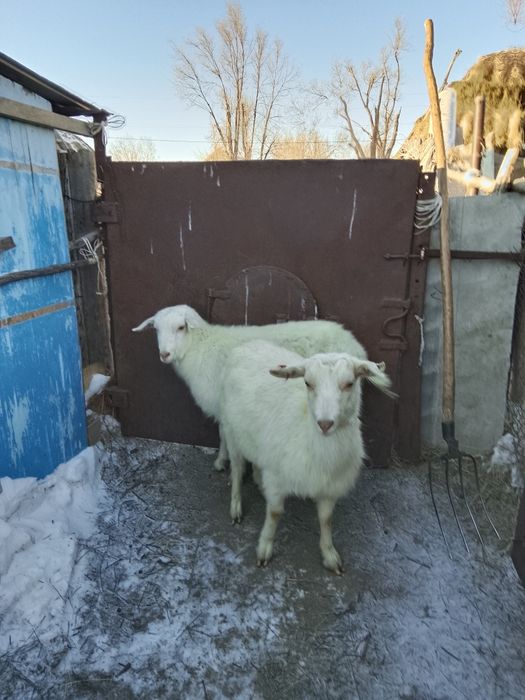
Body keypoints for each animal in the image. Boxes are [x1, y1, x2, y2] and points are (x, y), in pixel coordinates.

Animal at [219, 340, 391, 573]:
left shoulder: (329, 486)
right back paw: (236, 507)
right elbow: (275, 513)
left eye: (349, 383)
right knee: (237, 469)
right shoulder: (277, 476)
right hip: (232, 432)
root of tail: (248, 344)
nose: (325, 424)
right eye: (308, 383)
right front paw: (264, 549)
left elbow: (326, 519)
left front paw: (329, 555)